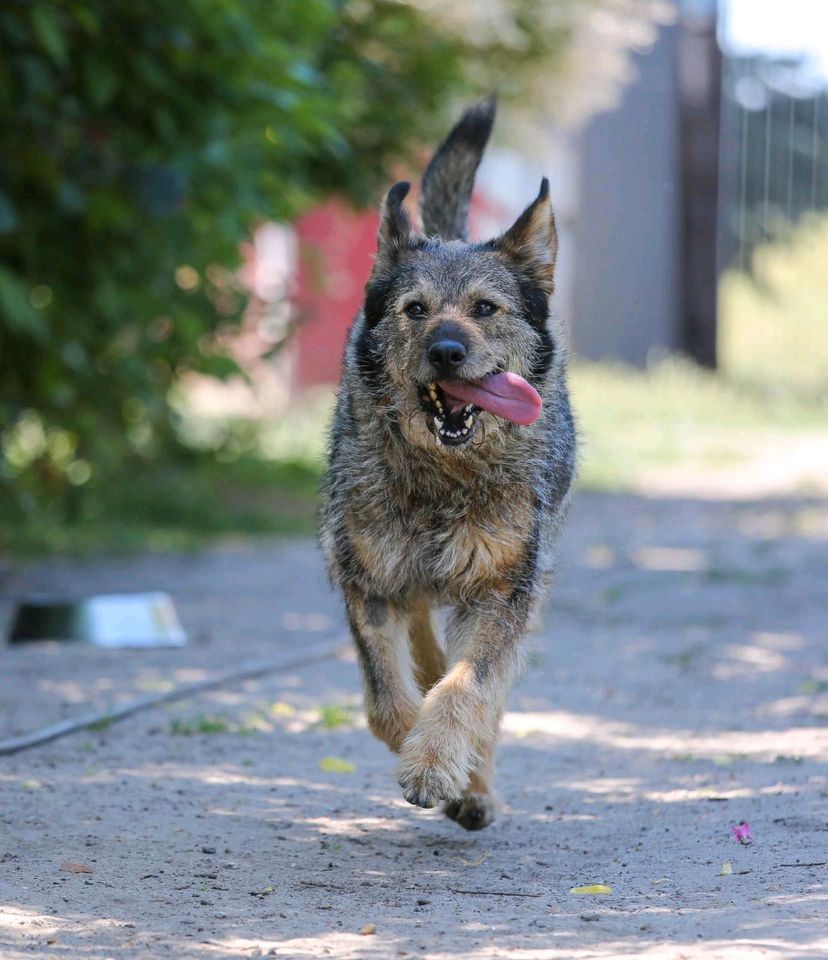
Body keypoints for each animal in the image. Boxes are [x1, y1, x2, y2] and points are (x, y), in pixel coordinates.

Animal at [322, 99, 576, 832]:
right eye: (415, 310)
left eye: (485, 308)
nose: (446, 350)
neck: (442, 477)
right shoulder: (368, 585)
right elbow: (390, 700)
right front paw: (426, 753)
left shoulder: (502, 591)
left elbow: (468, 689)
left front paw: (444, 766)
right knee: (425, 653)